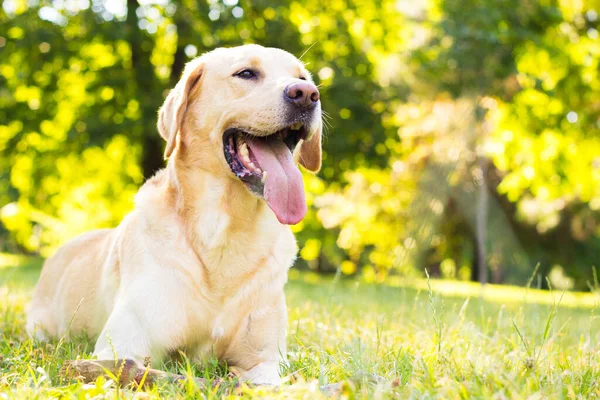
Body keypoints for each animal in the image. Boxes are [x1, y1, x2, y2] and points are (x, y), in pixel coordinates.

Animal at [27, 43, 324, 384]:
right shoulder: (123, 344)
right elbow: (140, 368)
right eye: (246, 73)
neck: (226, 233)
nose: (306, 94)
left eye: (302, 78)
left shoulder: (266, 359)